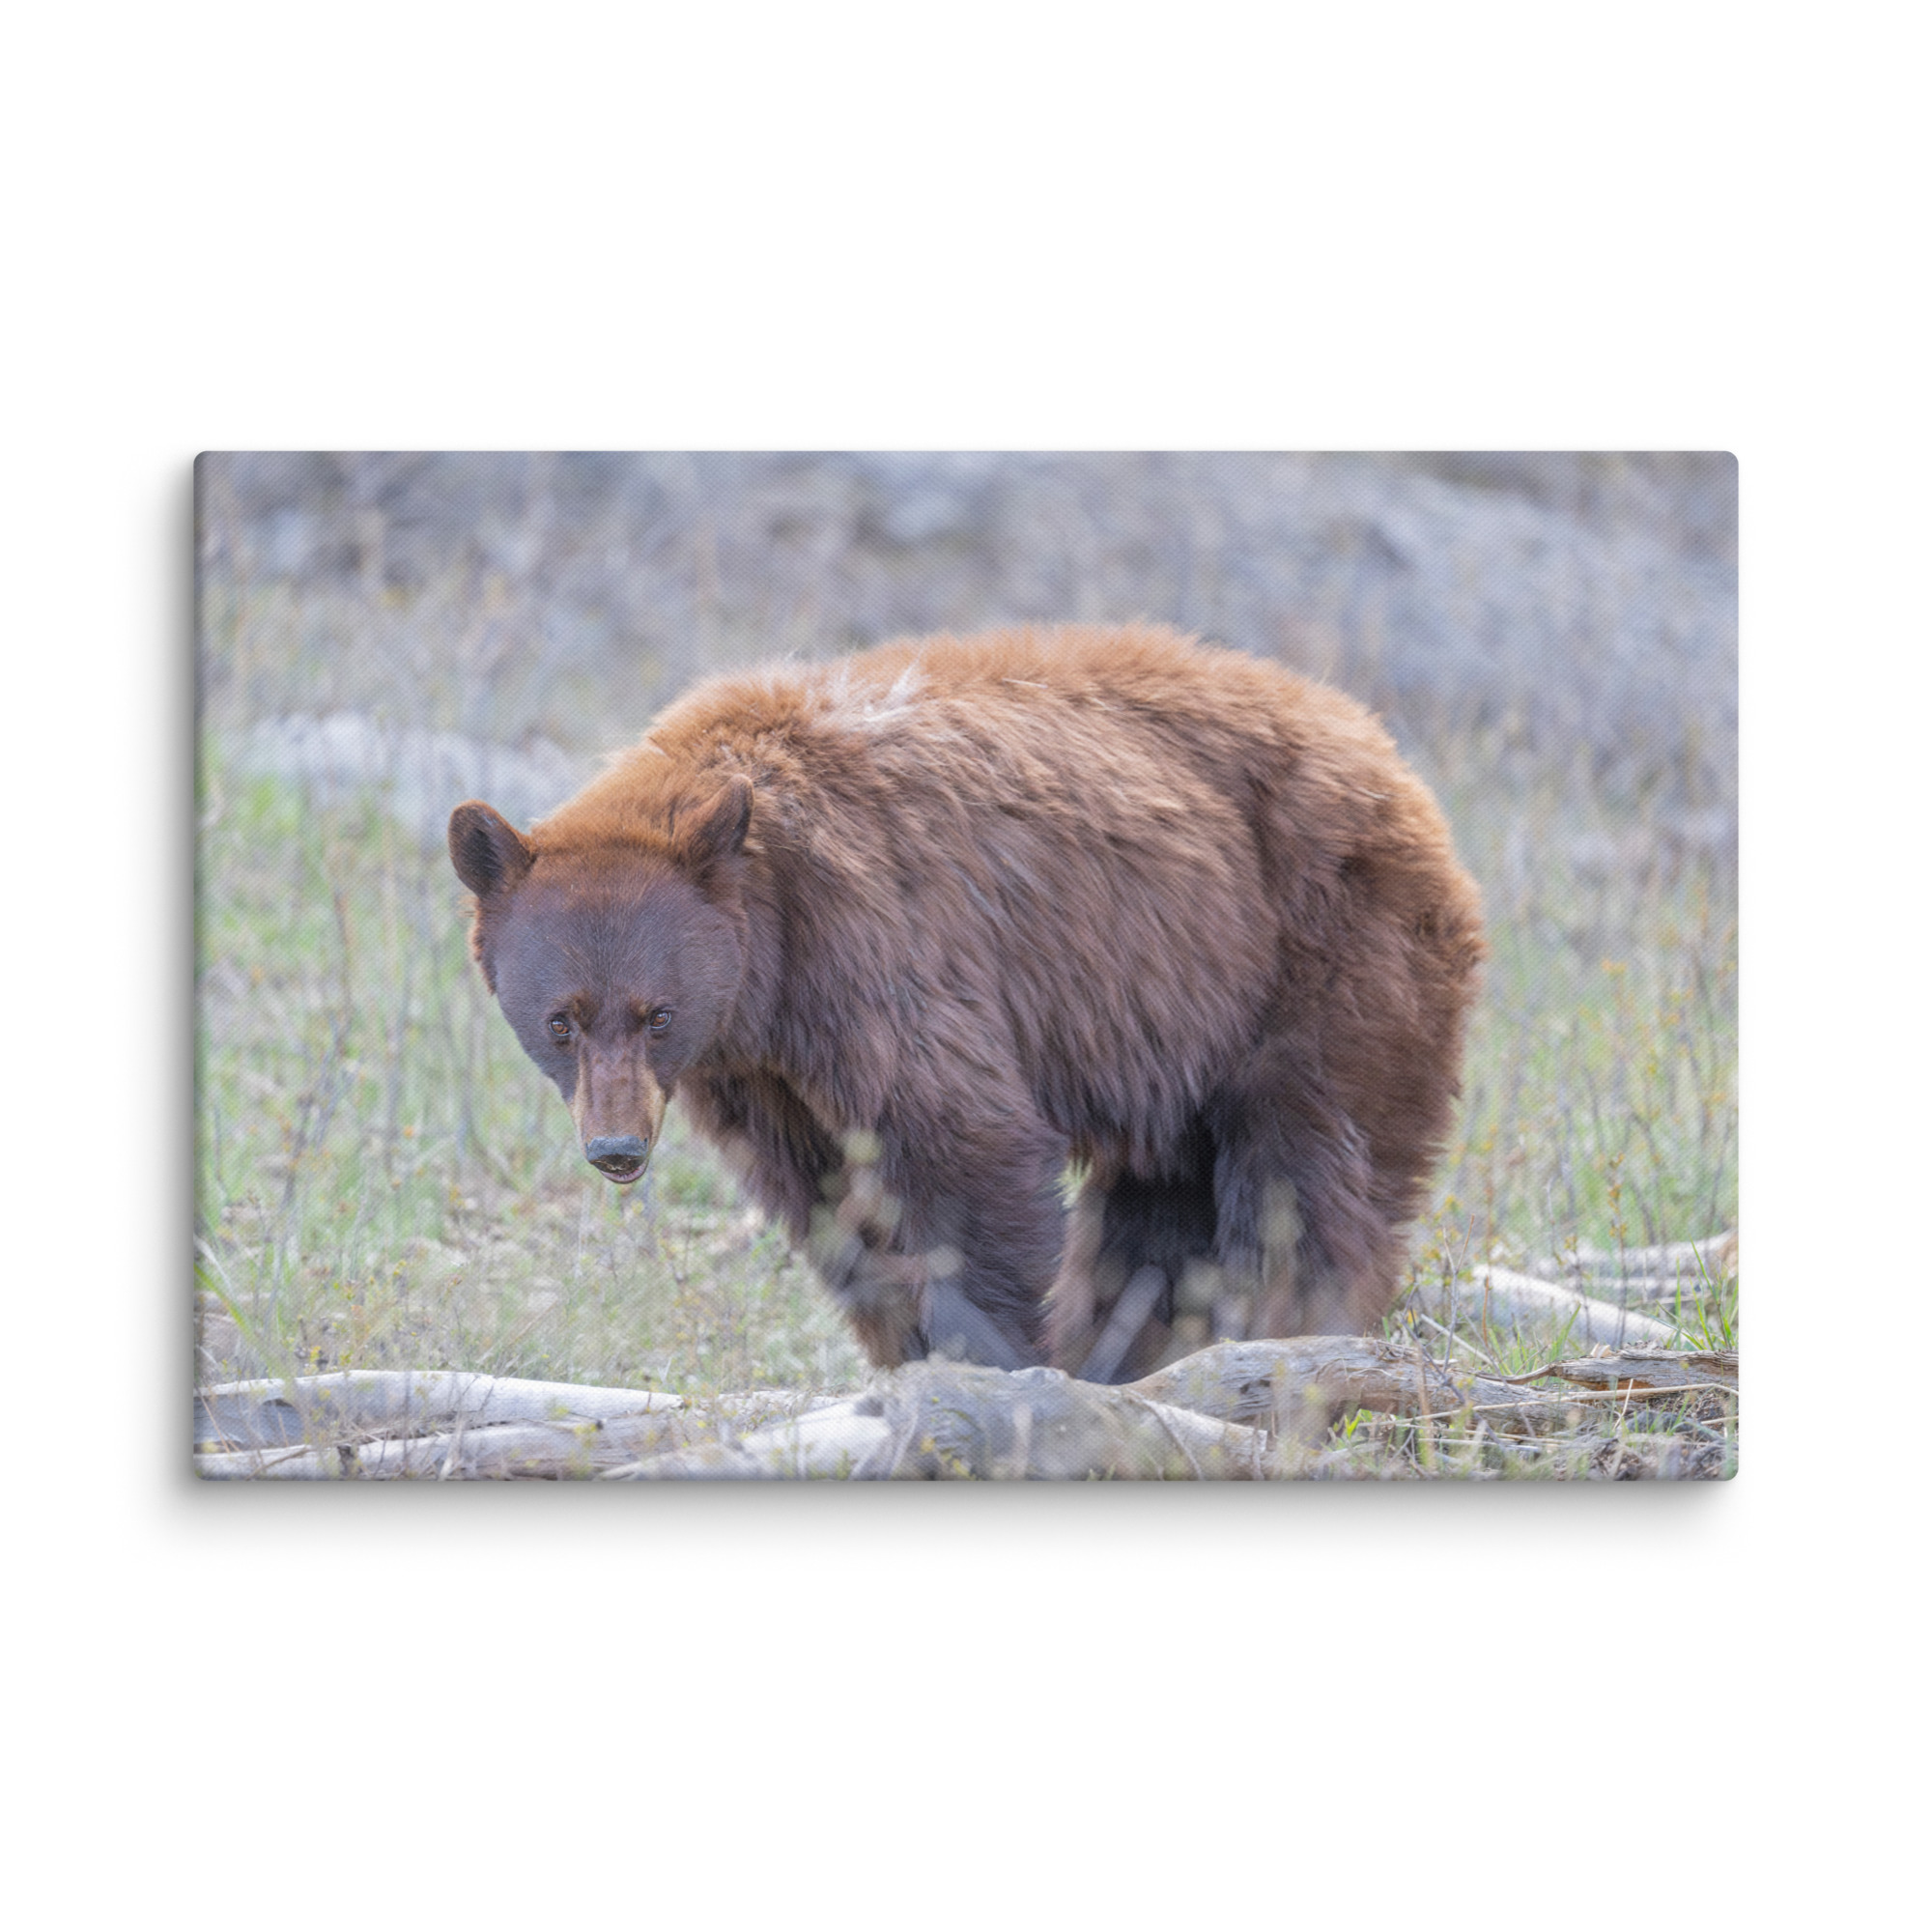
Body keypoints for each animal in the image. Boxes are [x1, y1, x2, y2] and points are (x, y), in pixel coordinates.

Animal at [448, 623, 1484, 1383]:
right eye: (561, 1021)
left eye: (655, 1014)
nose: (616, 1149)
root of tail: (1386, 751)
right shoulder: (761, 1071)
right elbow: (830, 1199)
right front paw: (910, 1352)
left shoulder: (879, 948)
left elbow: (961, 1147)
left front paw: (991, 1356)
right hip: (1181, 1021)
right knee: (1161, 1201)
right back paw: (1137, 1348)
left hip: (1319, 952)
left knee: (1307, 1167)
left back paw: (1283, 1330)